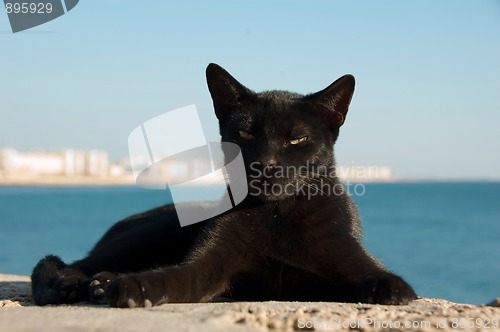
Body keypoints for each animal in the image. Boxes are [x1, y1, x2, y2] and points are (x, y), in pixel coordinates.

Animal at [29, 63, 416, 308]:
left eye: (297, 139)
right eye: (245, 133)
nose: (265, 164)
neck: (275, 214)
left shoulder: (342, 256)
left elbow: (373, 273)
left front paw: (390, 288)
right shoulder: (211, 262)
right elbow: (175, 276)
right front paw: (137, 287)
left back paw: (98, 283)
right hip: (149, 234)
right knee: (67, 261)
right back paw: (69, 285)